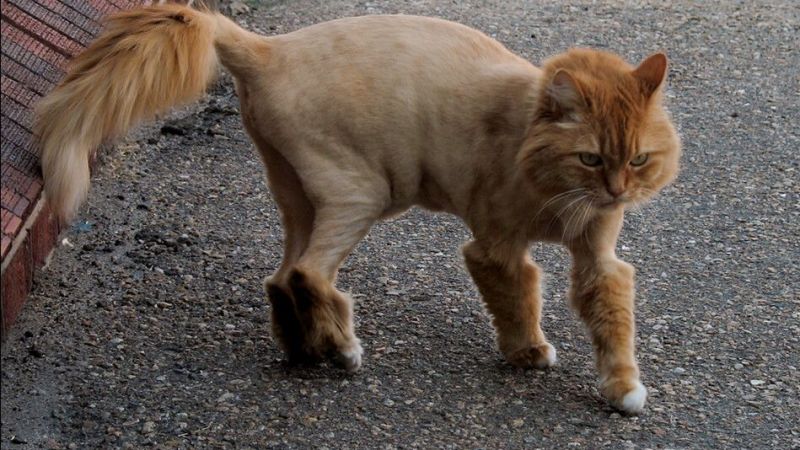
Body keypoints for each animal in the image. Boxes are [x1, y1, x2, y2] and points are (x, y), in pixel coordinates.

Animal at [34, 3, 680, 414]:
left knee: (279, 279)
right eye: (592, 159)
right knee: (305, 274)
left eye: (638, 159)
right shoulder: (494, 248)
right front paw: (527, 353)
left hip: (300, 197)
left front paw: (621, 387)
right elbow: (518, 301)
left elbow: (613, 320)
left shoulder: (600, 257)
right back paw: (342, 349)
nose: (618, 192)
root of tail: (267, 49)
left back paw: (304, 349)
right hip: (359, 195)